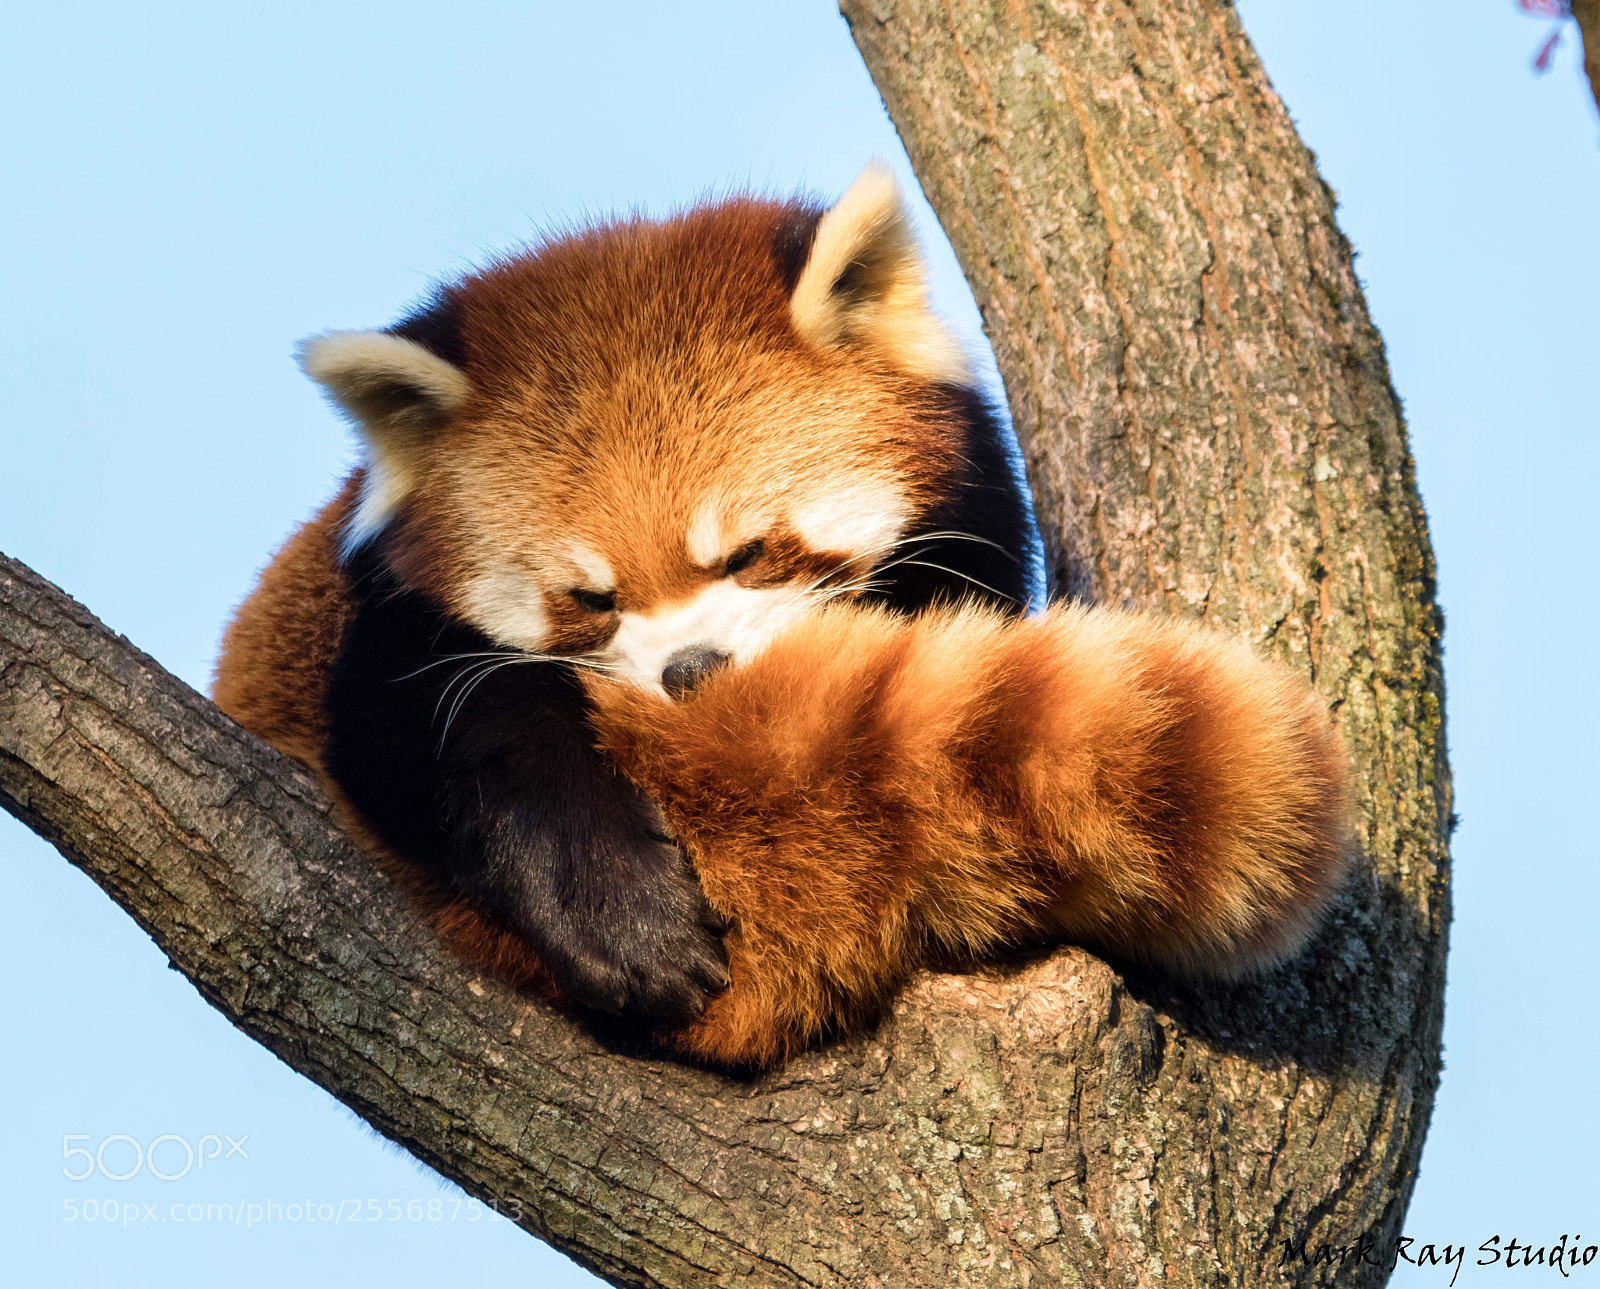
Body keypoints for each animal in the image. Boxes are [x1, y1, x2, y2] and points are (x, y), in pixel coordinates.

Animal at [214, 164, 1350, 1067]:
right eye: (593, 600)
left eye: (749, 553)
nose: (691, 672)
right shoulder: (379, 630)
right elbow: (452, 723)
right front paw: (612, 906)